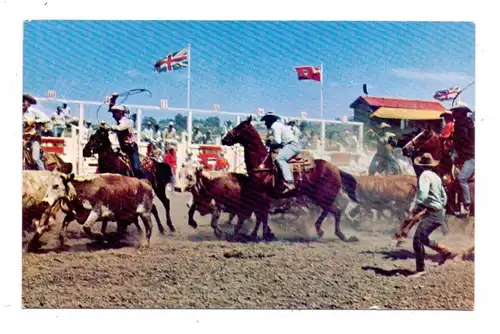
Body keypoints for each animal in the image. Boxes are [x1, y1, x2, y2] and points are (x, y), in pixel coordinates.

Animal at [223, 116, 360, 241]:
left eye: (239, 127)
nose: (224, 139)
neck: (262, 163)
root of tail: (336, 169)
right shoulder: (260, 196)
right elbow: (261, 216)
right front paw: (264, 234)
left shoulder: (263, 196)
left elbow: (261, 216)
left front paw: (258, 235)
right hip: (317, 197)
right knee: (330, 211)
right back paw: (322, 230)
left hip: (324, 196)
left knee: (336, 211)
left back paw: (339, 235)